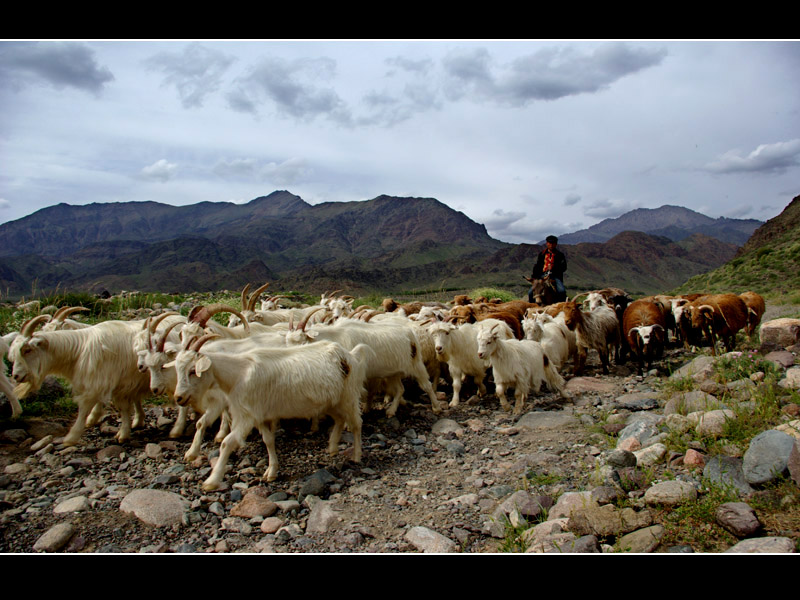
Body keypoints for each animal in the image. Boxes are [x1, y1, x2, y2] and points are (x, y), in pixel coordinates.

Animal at [172, 336, 368, 490]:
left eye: (192, 370)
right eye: (178, 369)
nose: (179, 398)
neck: (238, 374)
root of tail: (350, 355)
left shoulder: (247, 417)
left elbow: (227, 443)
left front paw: (211, 481)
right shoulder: (261, 415)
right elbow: (268, 440)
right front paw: (271, 471)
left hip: (349, 396)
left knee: (356, 424)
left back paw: (357, 456)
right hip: (332, 402)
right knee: (340, 419)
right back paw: (333, 448)